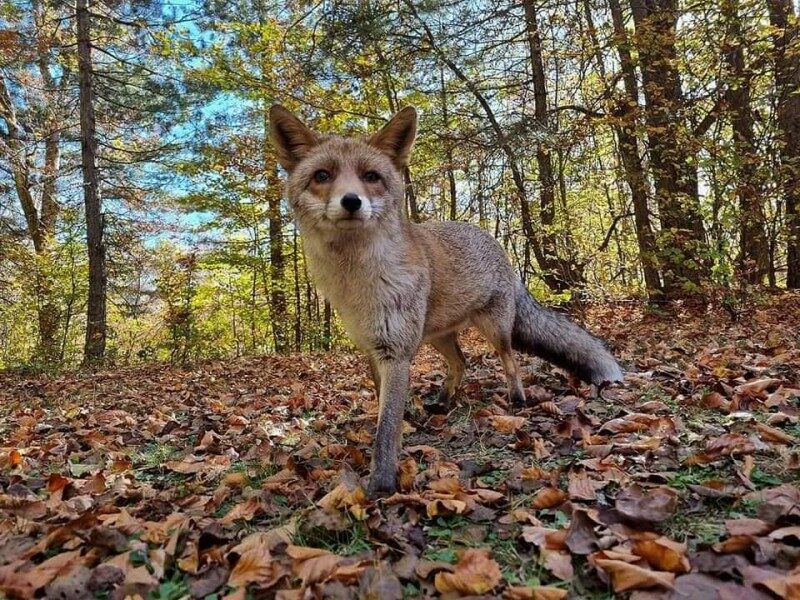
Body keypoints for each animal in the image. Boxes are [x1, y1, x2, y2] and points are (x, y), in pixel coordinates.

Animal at [269, 105, 623, 496]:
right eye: (322, 175)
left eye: (371, 176)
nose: (351, 201)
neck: (357, 282)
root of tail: (492, 241)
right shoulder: (374, 349)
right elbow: (385, 409)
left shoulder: (396, 351)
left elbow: (385, 429)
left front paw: (382, 482)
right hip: (438, 337)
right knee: (462, 363)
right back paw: (444, 400)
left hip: (495, 330)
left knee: (510, 360)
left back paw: (516, 399)